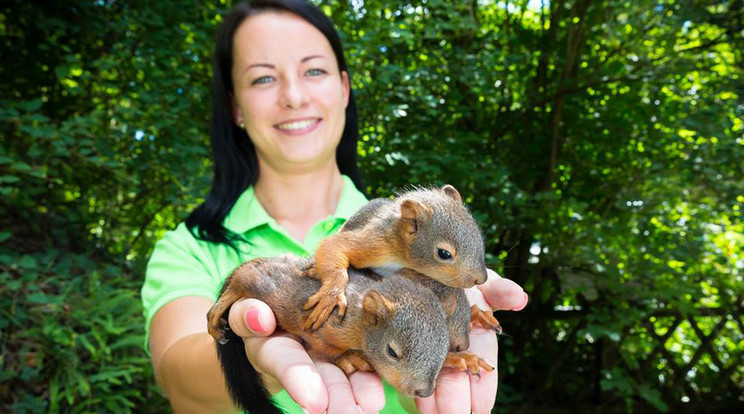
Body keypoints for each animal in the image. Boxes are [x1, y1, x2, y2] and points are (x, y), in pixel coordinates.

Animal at [206, 256, 494, 414]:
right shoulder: (326, 325)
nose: (422, 392)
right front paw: (347, 358)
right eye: (392, 351)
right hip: (259, 284)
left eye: (444, 348)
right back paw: (217, 311)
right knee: (237, 283)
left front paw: (461, 359)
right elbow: (327, 348)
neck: (362, 325)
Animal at [300, 184, 496, 334]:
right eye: (444, 253)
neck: (402, 259)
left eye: (478, 236)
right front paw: (330, 297)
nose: (481, 279)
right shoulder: (376, 243)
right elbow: (335, 245)